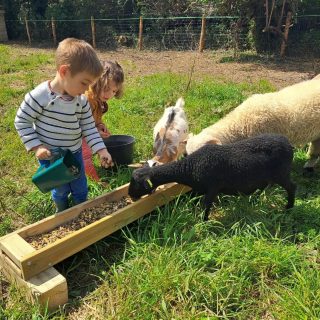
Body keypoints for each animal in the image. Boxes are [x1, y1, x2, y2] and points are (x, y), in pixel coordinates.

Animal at [128, 133, 298, 220]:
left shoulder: (212, 188)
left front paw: (204, 221)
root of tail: (289, 144)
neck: (188, 167)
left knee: (292, 187)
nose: (130, 195)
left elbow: (206, 205)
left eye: (136, 183)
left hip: (282, 173)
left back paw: (289, 207)